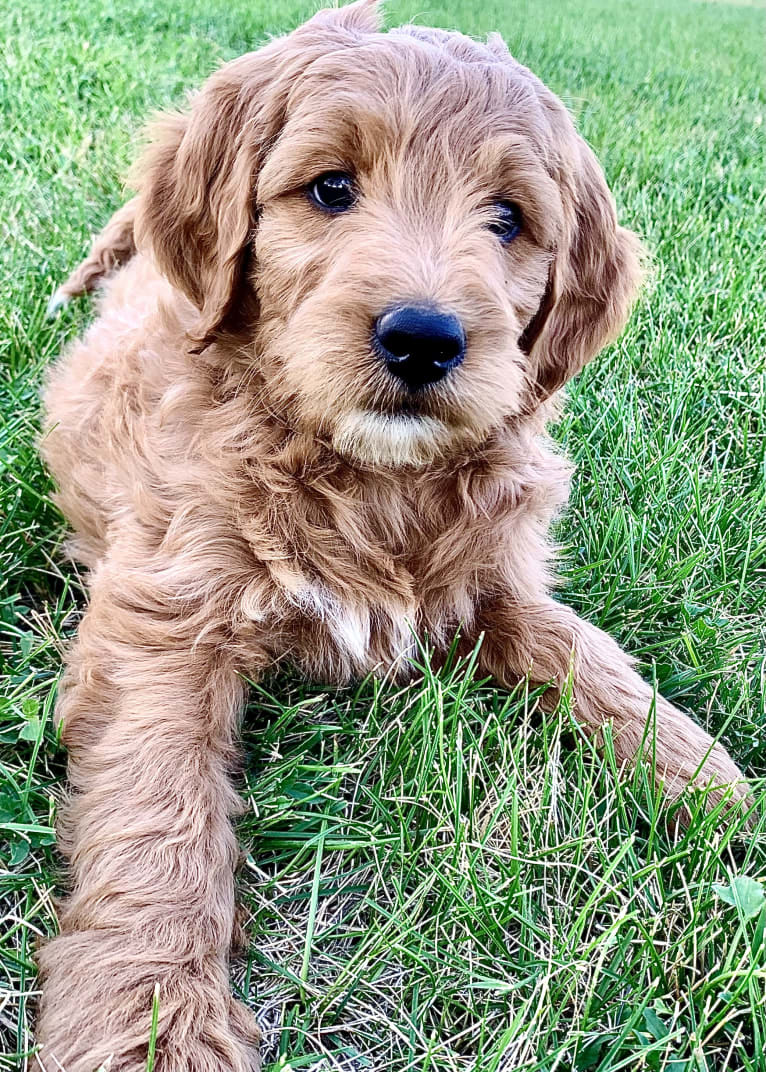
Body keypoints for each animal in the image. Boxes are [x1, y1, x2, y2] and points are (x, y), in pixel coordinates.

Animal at [37, 2, 749, 1072]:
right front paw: (153, 1022)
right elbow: (159, 811)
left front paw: (705, 778)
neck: (371, 480)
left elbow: (582, 652)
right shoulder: (167, 617)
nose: (424, 339)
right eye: (331, 188)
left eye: (508, 218)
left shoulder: (498, 576)